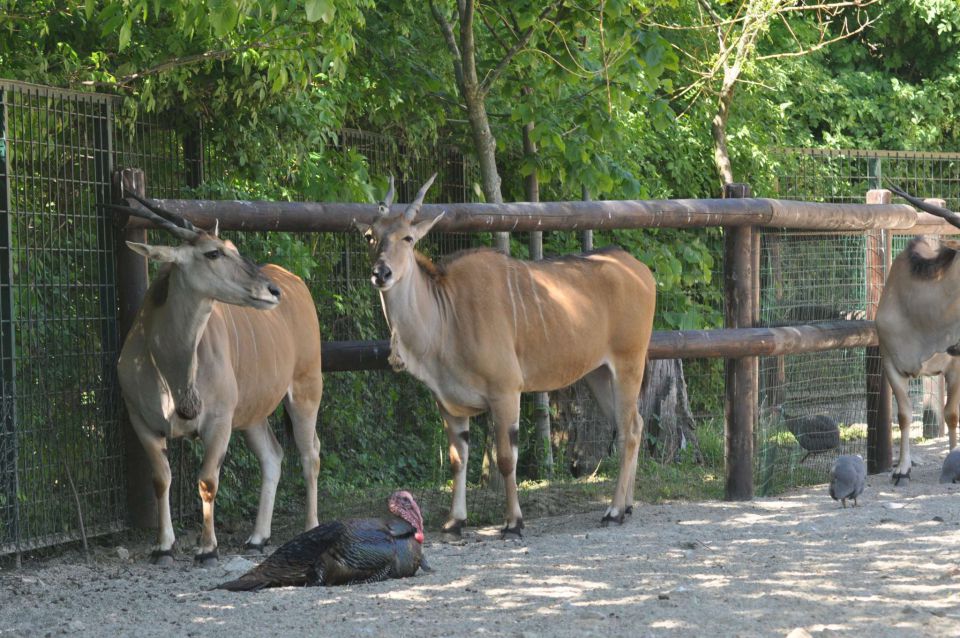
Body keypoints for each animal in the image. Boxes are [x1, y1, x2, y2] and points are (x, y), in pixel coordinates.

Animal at [110, 195, 324, 564]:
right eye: (213, 253)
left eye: (233, 248)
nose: (272, 291)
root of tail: (295, 281)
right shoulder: (142, 422)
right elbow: (161, 479)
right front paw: (163, 545)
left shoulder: (219, 423)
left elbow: (207, 481)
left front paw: (207, 547)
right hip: (252, 415)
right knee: (273, 456)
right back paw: (257, 538)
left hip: (305, 391)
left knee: (310, 454)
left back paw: (310, 527)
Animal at [356, 176, 656, 540]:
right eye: (370, 236)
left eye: (408, 238)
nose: (381, 273)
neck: (447, 315)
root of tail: (640, 269)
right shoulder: (448, 405)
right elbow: (458, 459)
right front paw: (455, 521)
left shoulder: (506, 392)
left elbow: (505, 459)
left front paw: (514, 522)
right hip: (598, 374)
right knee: (634, 424)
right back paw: (626, 506)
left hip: (628, 364)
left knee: (628, 431)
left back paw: (613, 511)